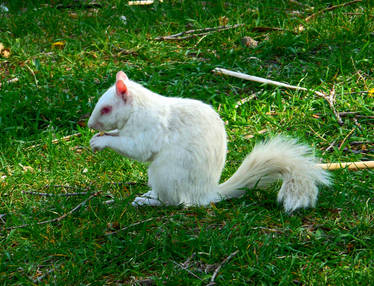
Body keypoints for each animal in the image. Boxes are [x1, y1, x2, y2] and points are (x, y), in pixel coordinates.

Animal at [87, 71, 330, 212]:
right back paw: (149, 195)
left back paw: (148, 201)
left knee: (175, 202)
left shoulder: (149, 130)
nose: (90, 125)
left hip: (165, 175)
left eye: (106, 108)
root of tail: (206, 195)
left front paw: (100, 143)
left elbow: (136, 149)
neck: (138, 108)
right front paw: (98, 137)